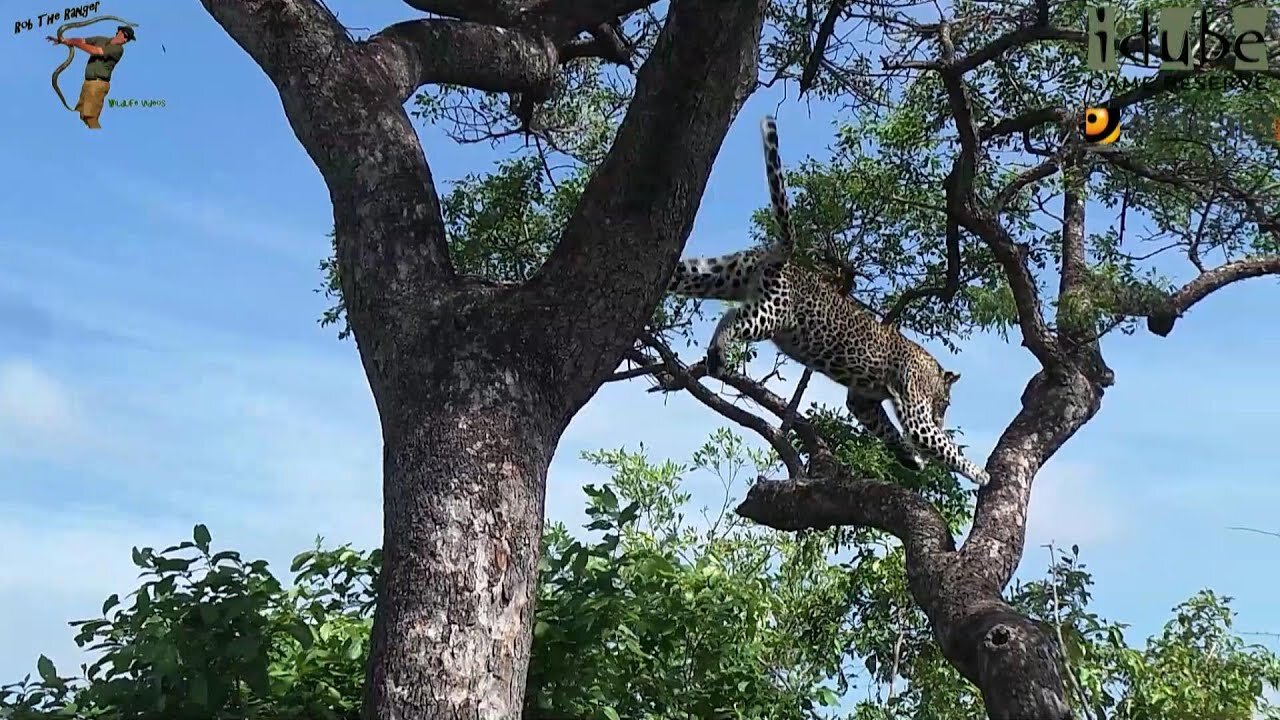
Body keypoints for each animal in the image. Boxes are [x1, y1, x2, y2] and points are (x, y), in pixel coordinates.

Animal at [665, 114, 993, 484]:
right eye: (945, 403)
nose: (942, 416)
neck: (929, 367)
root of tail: (781, 255)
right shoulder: (916, 411)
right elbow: (941, 444)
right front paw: (979, 473)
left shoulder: (863, 401)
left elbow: (887, 430)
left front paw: (910, 459)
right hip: (772, 312)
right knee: (732, 318)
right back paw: (718, 350)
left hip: (719, 273)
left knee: (683, 274)